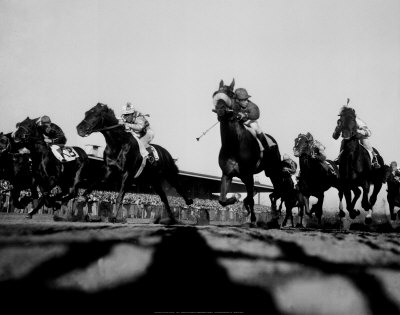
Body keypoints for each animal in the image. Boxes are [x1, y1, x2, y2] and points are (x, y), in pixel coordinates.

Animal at [212, 78, 284, 227]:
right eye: (215, 93)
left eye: (231, 94)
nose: (220, 110)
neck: (234, 146)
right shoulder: (227, 174)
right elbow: (222, 200)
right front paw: (235, 197)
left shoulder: (248, 175)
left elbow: (251, 199)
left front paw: (253, 220)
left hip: (273, 171)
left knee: (277, 190)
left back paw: (275, 215)